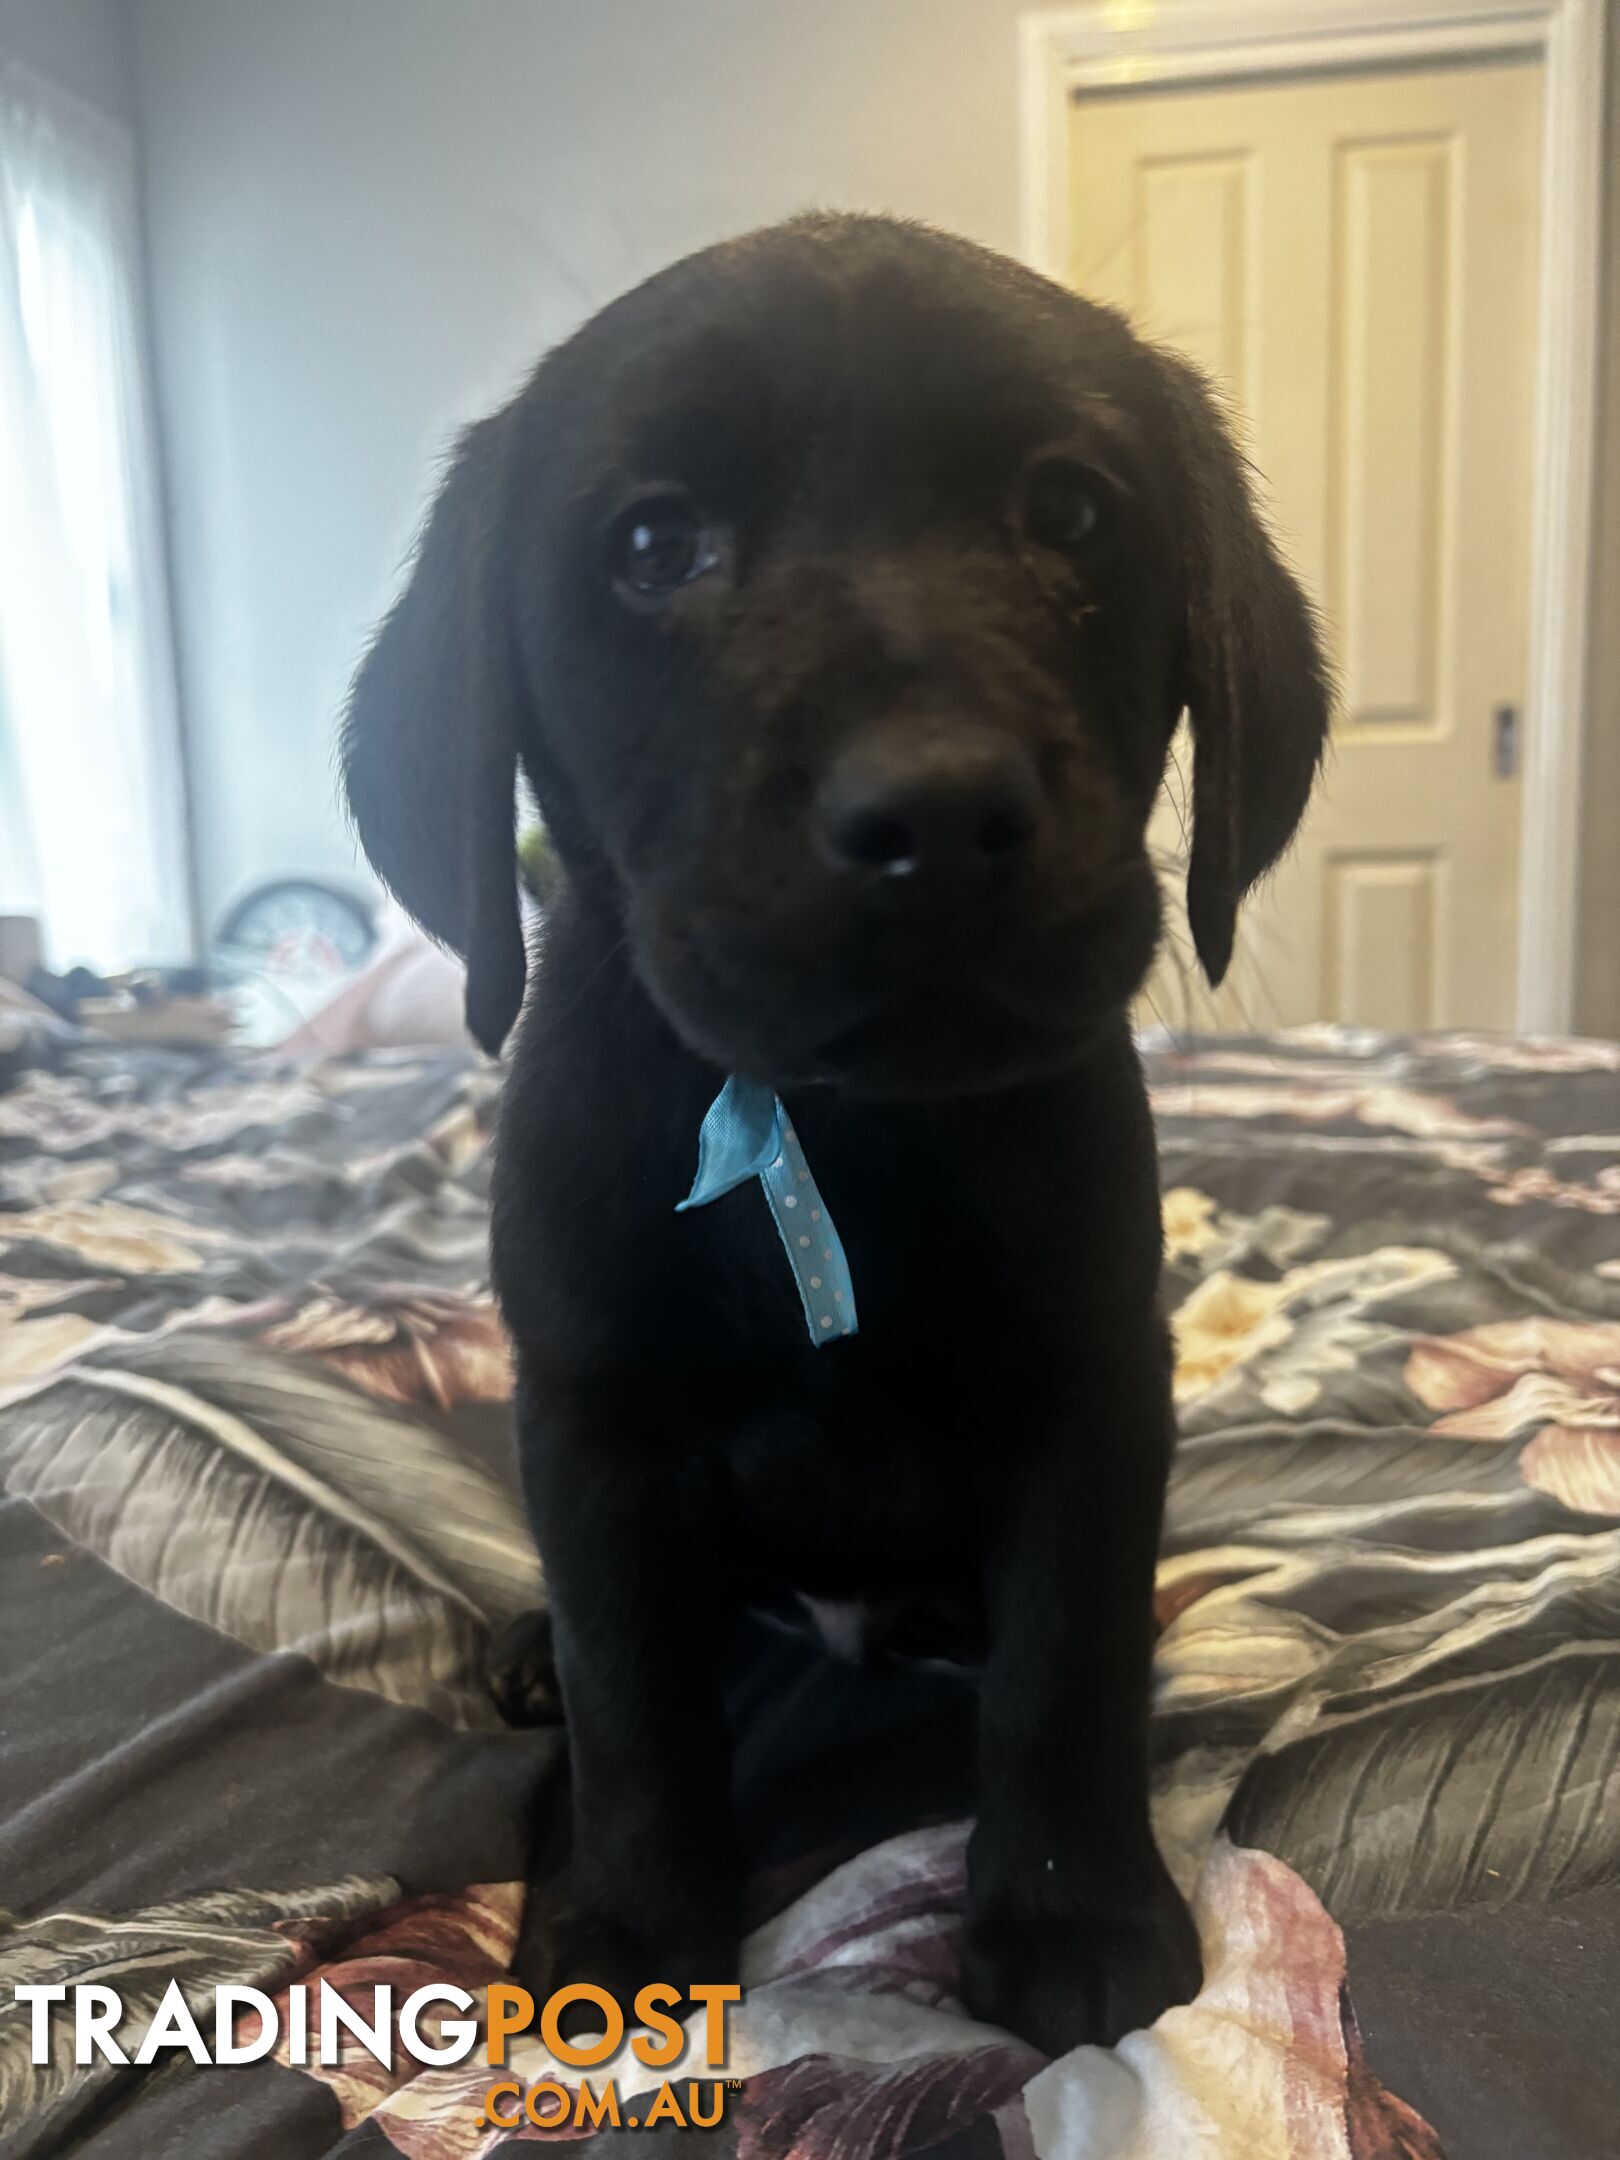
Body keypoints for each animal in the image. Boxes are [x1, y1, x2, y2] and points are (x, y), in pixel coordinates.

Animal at [345, 210, 1330, 2047]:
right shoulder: (590, 1422)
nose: (932, 811)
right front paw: (630, 1924)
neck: (843, 1133)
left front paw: (1071, 1916)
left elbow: (1061, 1673)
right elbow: (635, 1699)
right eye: (656, 542)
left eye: (1070, 512)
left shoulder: (1092, 1405)